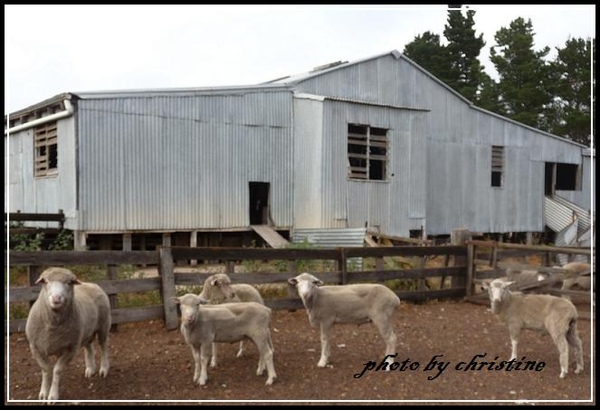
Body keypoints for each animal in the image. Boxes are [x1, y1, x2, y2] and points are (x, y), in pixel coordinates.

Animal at [24, 268, 112, 402]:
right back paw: (90, 369)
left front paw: (53, 395)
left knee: (103, 347)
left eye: (70, 283)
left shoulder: (71, 349)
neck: (52, 327)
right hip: (85, 331)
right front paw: (43, 393)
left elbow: (57, 370)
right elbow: (46, 369)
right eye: (45, 281)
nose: (56, 298)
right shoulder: (35, 347)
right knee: (89, 348)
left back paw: (103, 369)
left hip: (104, 325)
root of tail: (92, 283)